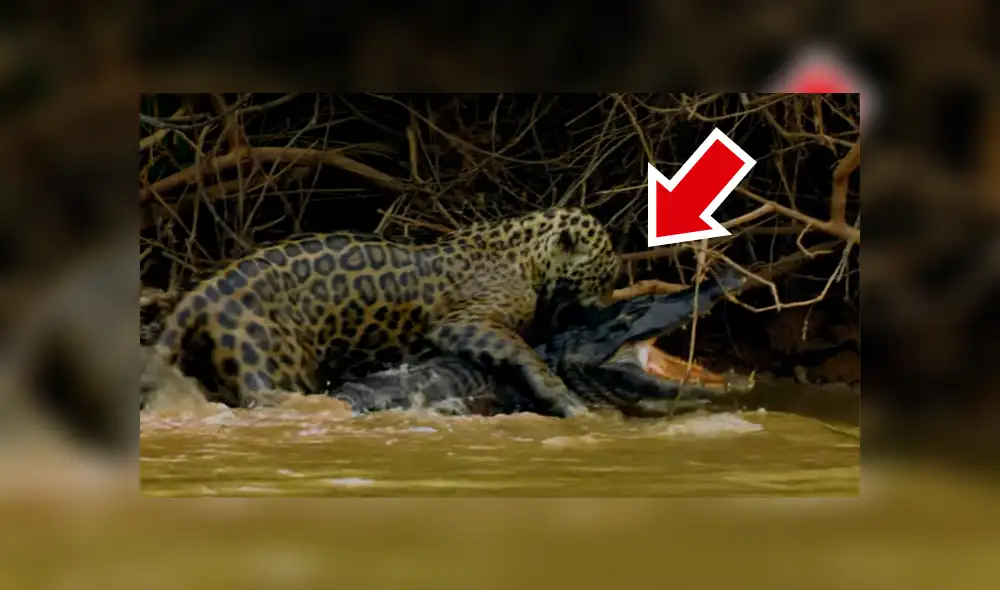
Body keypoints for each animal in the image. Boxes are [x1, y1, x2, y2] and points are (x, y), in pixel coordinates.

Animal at [152, 207, 621, 418]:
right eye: (604, 275)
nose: (605, 307)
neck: (525, 256)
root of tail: (204, 289)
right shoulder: (465, 323)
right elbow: (524, 352)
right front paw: (568, 400)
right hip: (274, 364)